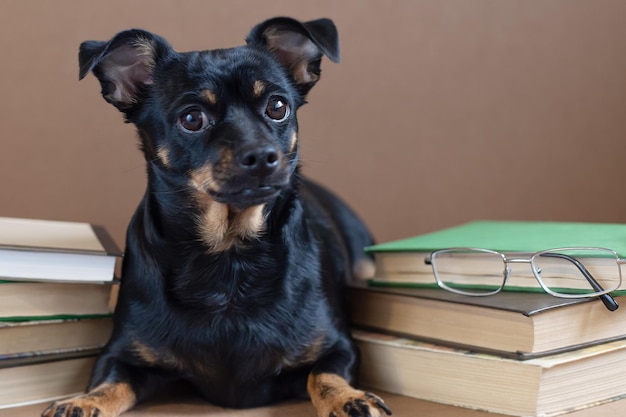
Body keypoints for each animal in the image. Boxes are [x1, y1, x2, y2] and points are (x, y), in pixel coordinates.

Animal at [41, 16, 388, 416]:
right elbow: (109, 383)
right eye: (192, 118)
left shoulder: (340, 348)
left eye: (278, 107)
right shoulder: (119, 355)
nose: (263, 156)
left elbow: (323, 375)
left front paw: (349, 398)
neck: (229, 253)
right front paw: (83, 401)